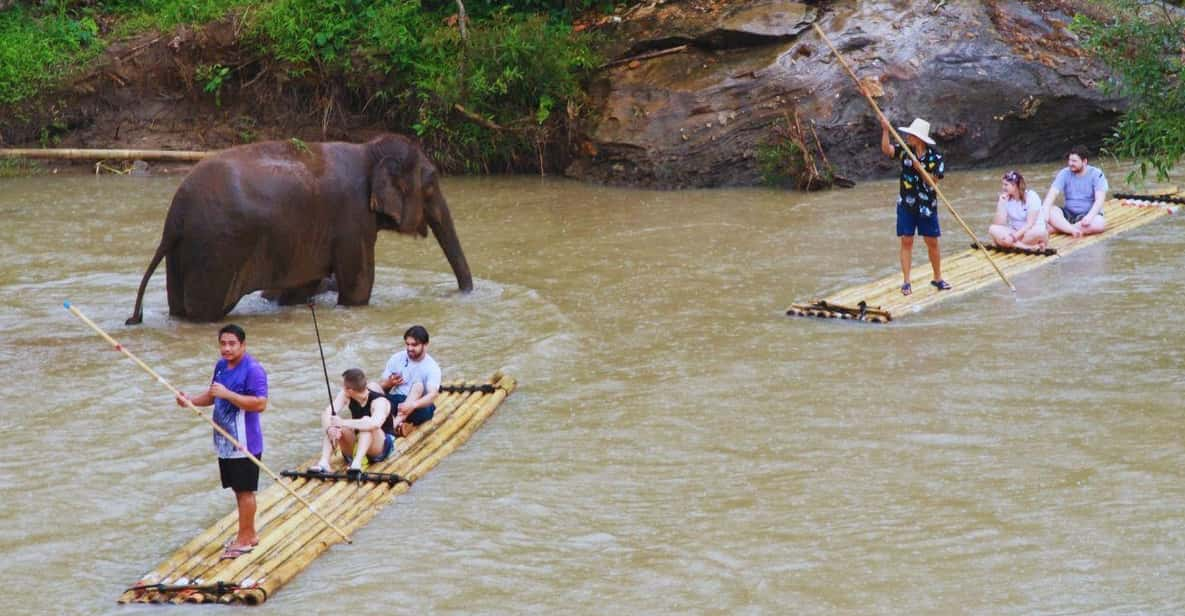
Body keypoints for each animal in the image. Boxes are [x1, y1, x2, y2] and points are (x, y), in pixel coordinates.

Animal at [123, 133, 466, 324]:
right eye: (431, 184)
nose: (464, 292)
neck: (368, 151)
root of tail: (174, 218)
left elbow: (301, 288)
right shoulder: (352, 221)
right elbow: (358, 287)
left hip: (183, 254)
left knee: (179, 308)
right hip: (215, 251)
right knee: (205, 311)